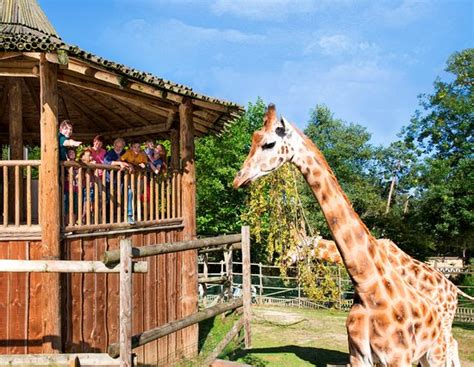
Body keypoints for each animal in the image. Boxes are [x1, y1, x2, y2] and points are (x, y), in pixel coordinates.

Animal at [233, 104, 452, 367]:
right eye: (253, 140)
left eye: (269, 143)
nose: (238, 179)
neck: (368, 290)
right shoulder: (358, 356)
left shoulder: (398, 358)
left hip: (435, 351)